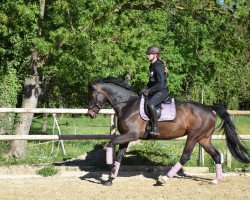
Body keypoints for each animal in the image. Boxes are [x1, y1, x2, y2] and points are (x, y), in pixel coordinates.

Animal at [87, 76, 250, 186]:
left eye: (91, 95)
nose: (90, 114)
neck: (127, 105)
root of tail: (209, 108)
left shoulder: (131, 135)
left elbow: (109, 144)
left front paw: (108, 165)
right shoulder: (126, 137)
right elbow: (119, 156)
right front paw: (110, 179)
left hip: (193, 136)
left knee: (185, 156)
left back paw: (164, 178)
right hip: (204, 138)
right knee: (216, 155)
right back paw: (216, 180)